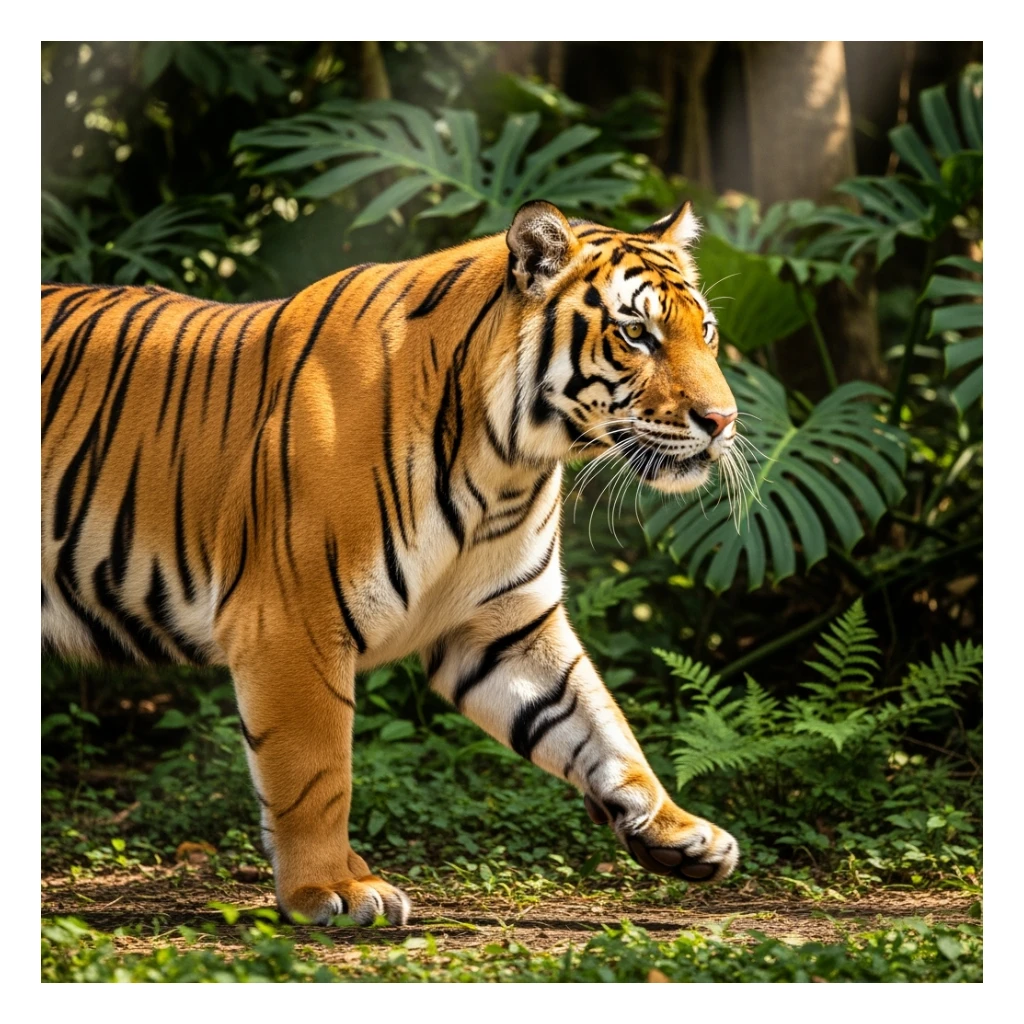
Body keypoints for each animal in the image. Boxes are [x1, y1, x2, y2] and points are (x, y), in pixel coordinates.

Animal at [41, 199, 741, 926]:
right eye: (636, 334)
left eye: (707, 331)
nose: (723, 419)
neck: (507, 462)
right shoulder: (290, 624)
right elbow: (314, 771)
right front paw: (331, 887)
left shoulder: (505, 627)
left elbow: (597, 724)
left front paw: (677, 831)